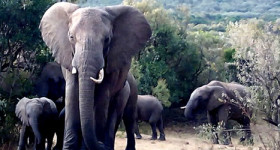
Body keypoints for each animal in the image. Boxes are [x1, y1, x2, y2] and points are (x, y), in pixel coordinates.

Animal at [39, 1, 151, 149]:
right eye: (71, 37)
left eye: (107, 39)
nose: (100, 144)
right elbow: (72, 94)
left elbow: (102, 97)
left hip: (131, 91)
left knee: (127, 119)